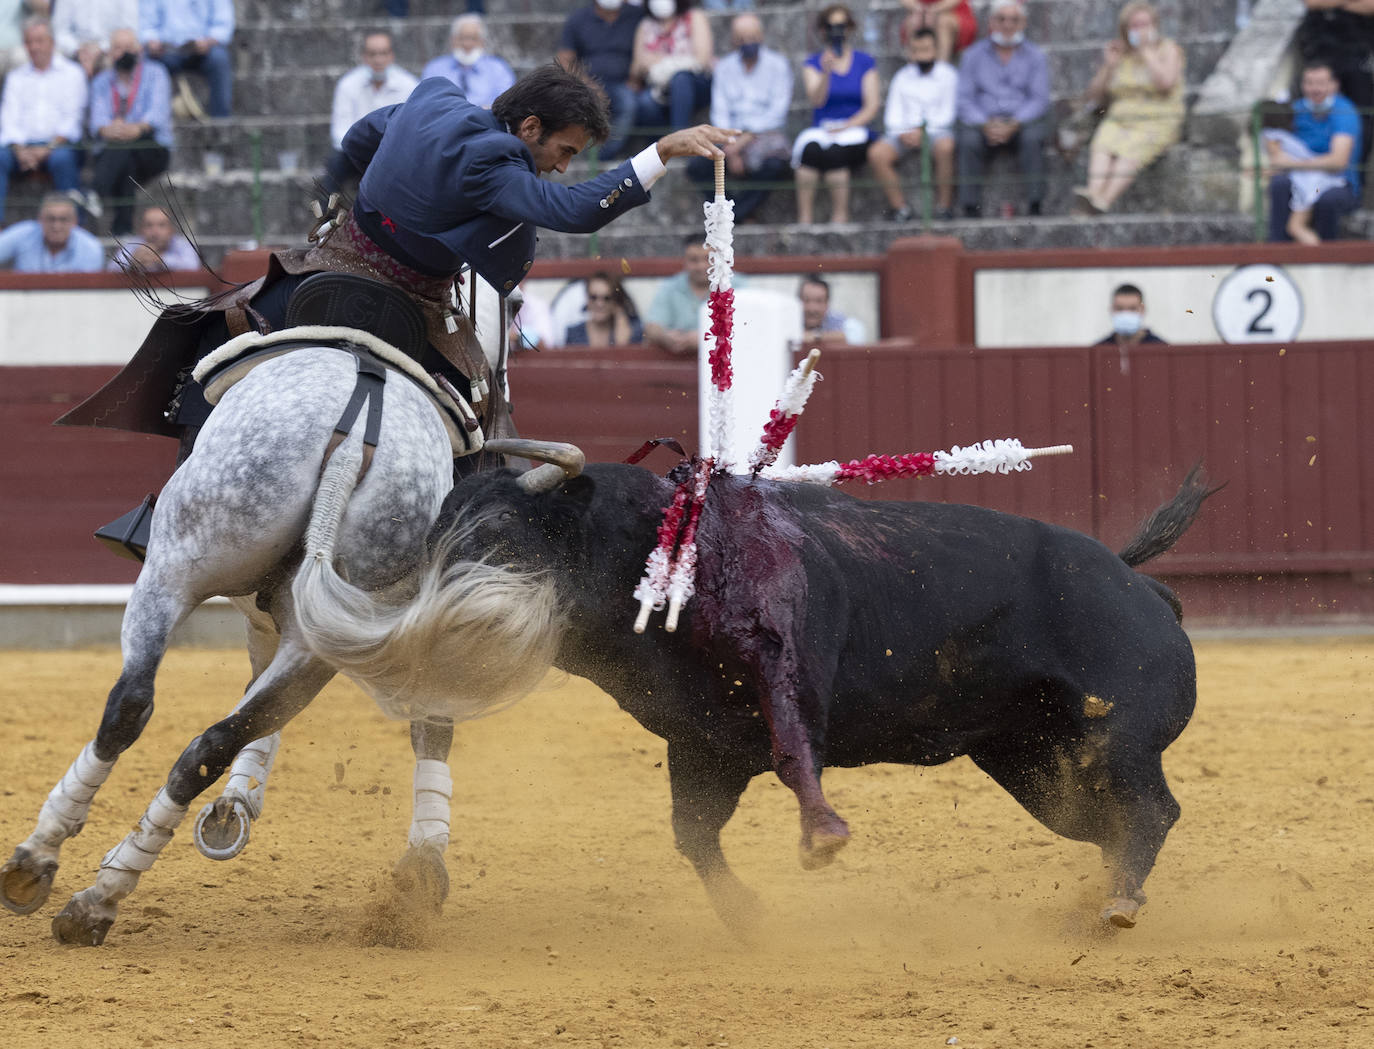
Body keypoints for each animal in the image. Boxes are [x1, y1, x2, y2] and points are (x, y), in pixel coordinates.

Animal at [0, 332, 568, 945]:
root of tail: (355, 435)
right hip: (286, 621)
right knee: (186, 726)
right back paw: (85, 887)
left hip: (179, 567)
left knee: (161, 715)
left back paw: (61, 874)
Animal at [431, 464, 1214, 929]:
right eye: (438, 524)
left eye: (501, 531)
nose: (434, 601)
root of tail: (1139, 583)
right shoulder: (702, 743)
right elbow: (694, 833)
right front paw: (747, 917)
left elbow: (777, 772)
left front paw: (814, 846)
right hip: (1033, 762)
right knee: (1106, 822)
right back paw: (1112, 893)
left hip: (1116, 739)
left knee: (1152, 809)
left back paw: (1117, 903)